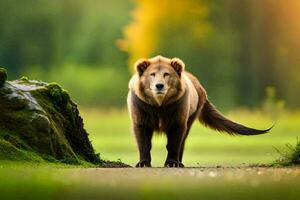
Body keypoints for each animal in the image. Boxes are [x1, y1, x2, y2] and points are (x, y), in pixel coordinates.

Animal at [127, 55, 272, 168]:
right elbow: (143, 139)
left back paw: (180, 162)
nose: (159, 85)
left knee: (184, 137)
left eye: (166, 74)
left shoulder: (177, 109)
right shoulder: (142, 109)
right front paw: (143, 162)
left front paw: (172, 162)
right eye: (152, 74)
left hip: (195, 109)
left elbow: (175, 139)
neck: (159, 105)